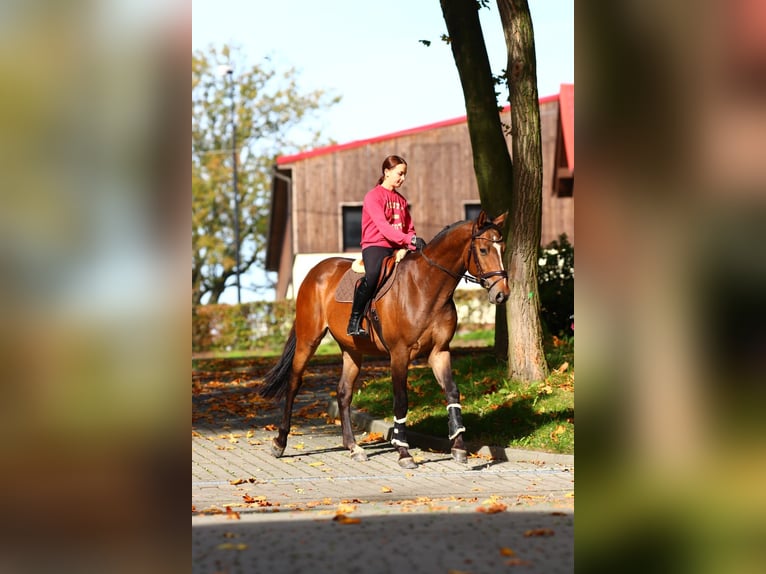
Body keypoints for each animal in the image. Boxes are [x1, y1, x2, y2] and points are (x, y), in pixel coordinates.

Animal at [258, 209, 510, 470]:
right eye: (484, 250)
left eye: (503, 248)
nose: (502, 294)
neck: (425, 286)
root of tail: (316, 271)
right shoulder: (399, 353)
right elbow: (401, 400)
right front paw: (404, 452)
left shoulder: (439, 351)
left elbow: (452, 392)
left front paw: (459, 447)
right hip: (308, 340)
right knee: (294, 383)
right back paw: (280, 442)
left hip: (352, 350)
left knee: (343, 392)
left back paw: (353, 447)